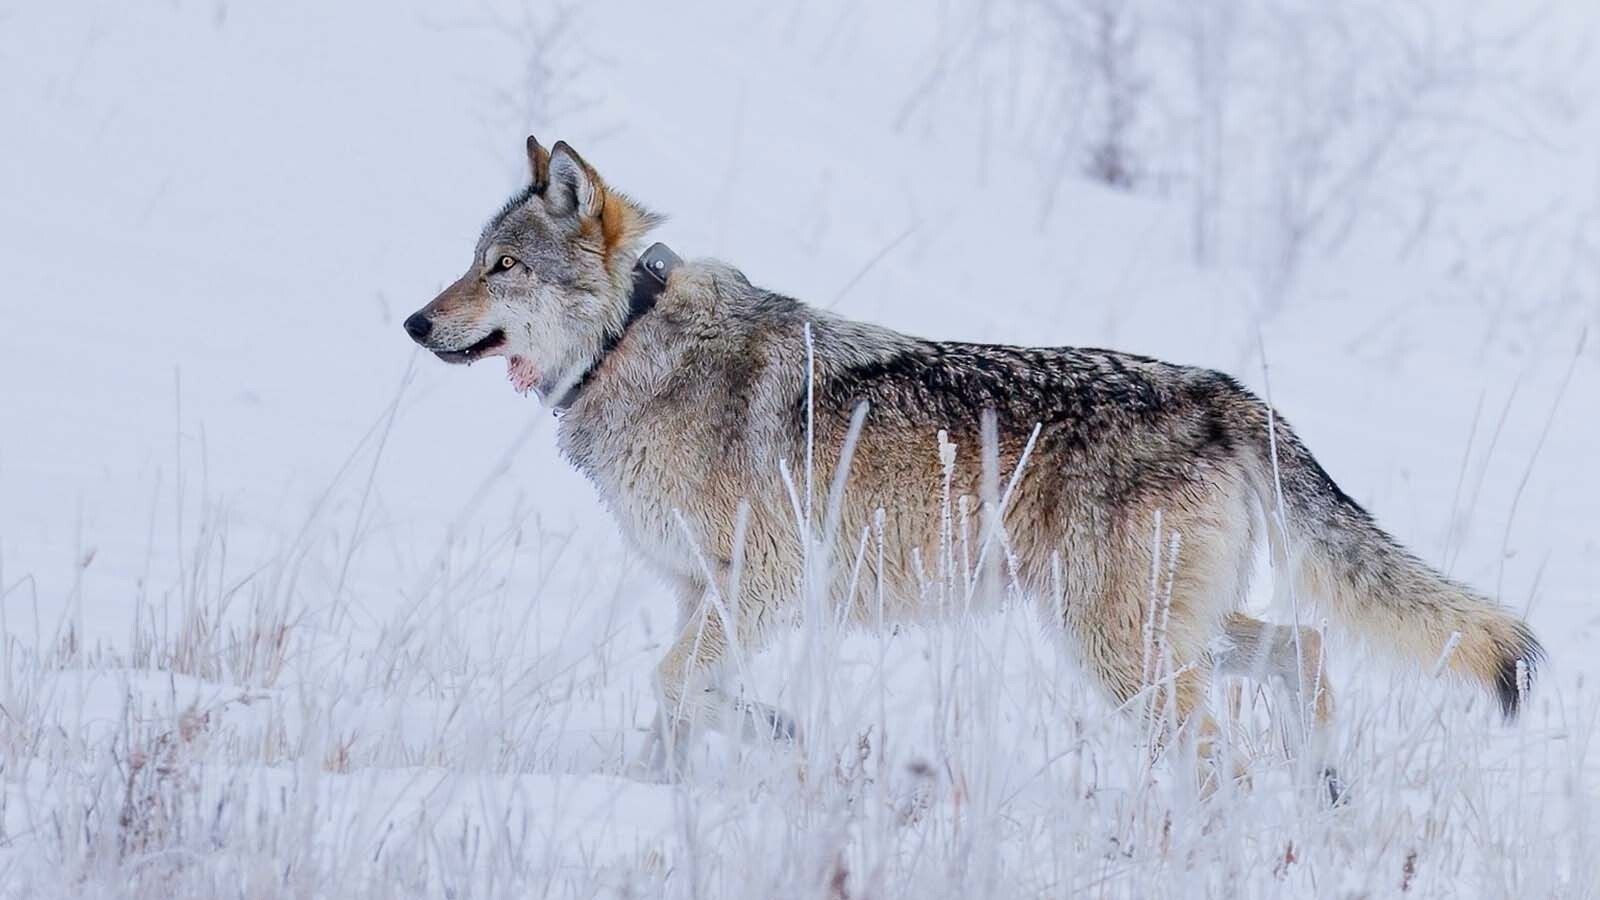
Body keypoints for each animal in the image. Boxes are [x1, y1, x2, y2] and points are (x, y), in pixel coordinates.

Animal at [404, 136, 1543, 786]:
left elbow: (679, 686)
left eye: (503, 267)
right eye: (470, 259)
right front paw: (655, 801)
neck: (631, 342)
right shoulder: (699, 595)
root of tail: (1232, 395)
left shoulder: (759, 586)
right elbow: (671, 709)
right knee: (1304, 654)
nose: (415, 323)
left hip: (1117, 648)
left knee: (1221, 749)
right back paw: (1320, 797)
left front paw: (777, 733)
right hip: (1151, 630)